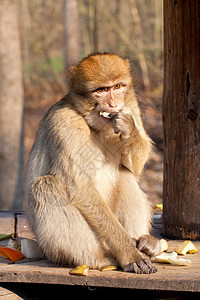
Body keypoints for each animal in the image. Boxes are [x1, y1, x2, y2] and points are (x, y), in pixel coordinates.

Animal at [25, 53, 161, 274]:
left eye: (117, 86)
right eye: (101, 90)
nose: (113, 104)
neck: (96, 126)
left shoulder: (131, 107)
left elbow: (135, 169)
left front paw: (128, 128)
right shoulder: (65, 123)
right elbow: (79, 188)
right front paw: (129, 254)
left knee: (125, 173)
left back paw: (144, 243)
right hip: (59, 248)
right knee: (46, 185)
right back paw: (100, 259)